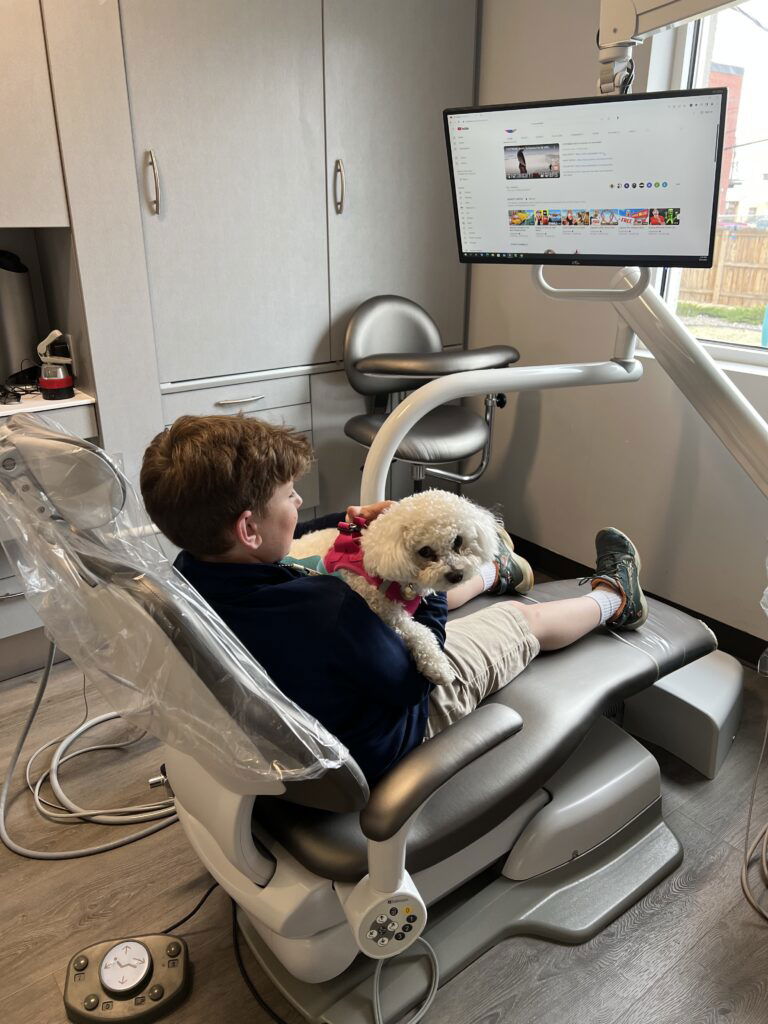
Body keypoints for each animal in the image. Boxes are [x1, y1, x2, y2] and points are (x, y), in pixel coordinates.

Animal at [288, 489, 499, 684]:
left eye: (458, 541)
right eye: (425, 551)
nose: (456, 576)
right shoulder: (383, 611)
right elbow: (420, 631)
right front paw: (438, 666)